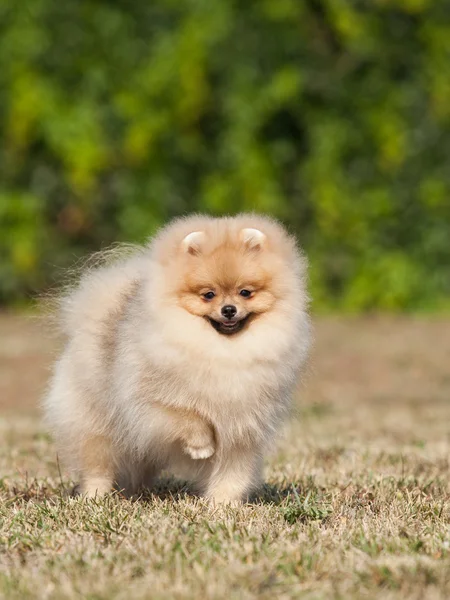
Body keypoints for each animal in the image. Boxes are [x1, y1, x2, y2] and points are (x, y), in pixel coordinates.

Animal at [43, 213, 310, 504]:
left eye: (245, 292)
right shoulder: (150, 401)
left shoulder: (243, 427)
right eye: (208, 294)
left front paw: (222, 504)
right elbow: (188, 414)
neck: (223, 351)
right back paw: (95, 496)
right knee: (97, 463)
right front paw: (201, 447)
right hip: (95, 421)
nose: (229, 309)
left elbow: (232, 473)